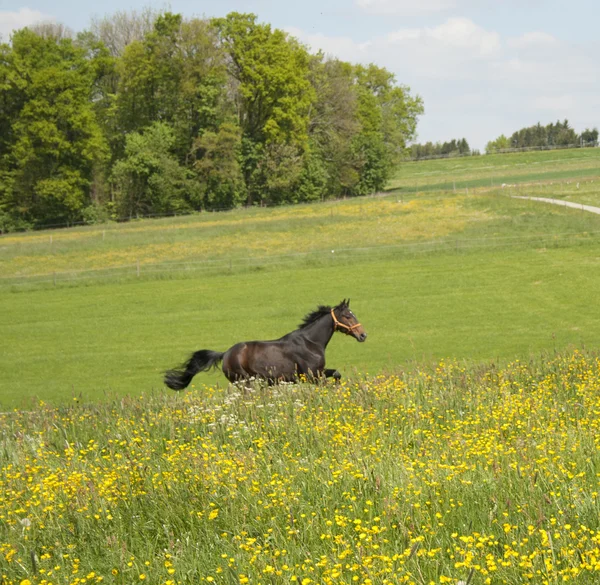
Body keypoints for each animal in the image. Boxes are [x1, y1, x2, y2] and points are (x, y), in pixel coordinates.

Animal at [164, 298, 366, 390]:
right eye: (347, 316)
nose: (363, 335)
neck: (310, 343)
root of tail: (225, 354)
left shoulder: (319, 372)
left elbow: (337, 374)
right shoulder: (312, 376)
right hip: (245, 382)